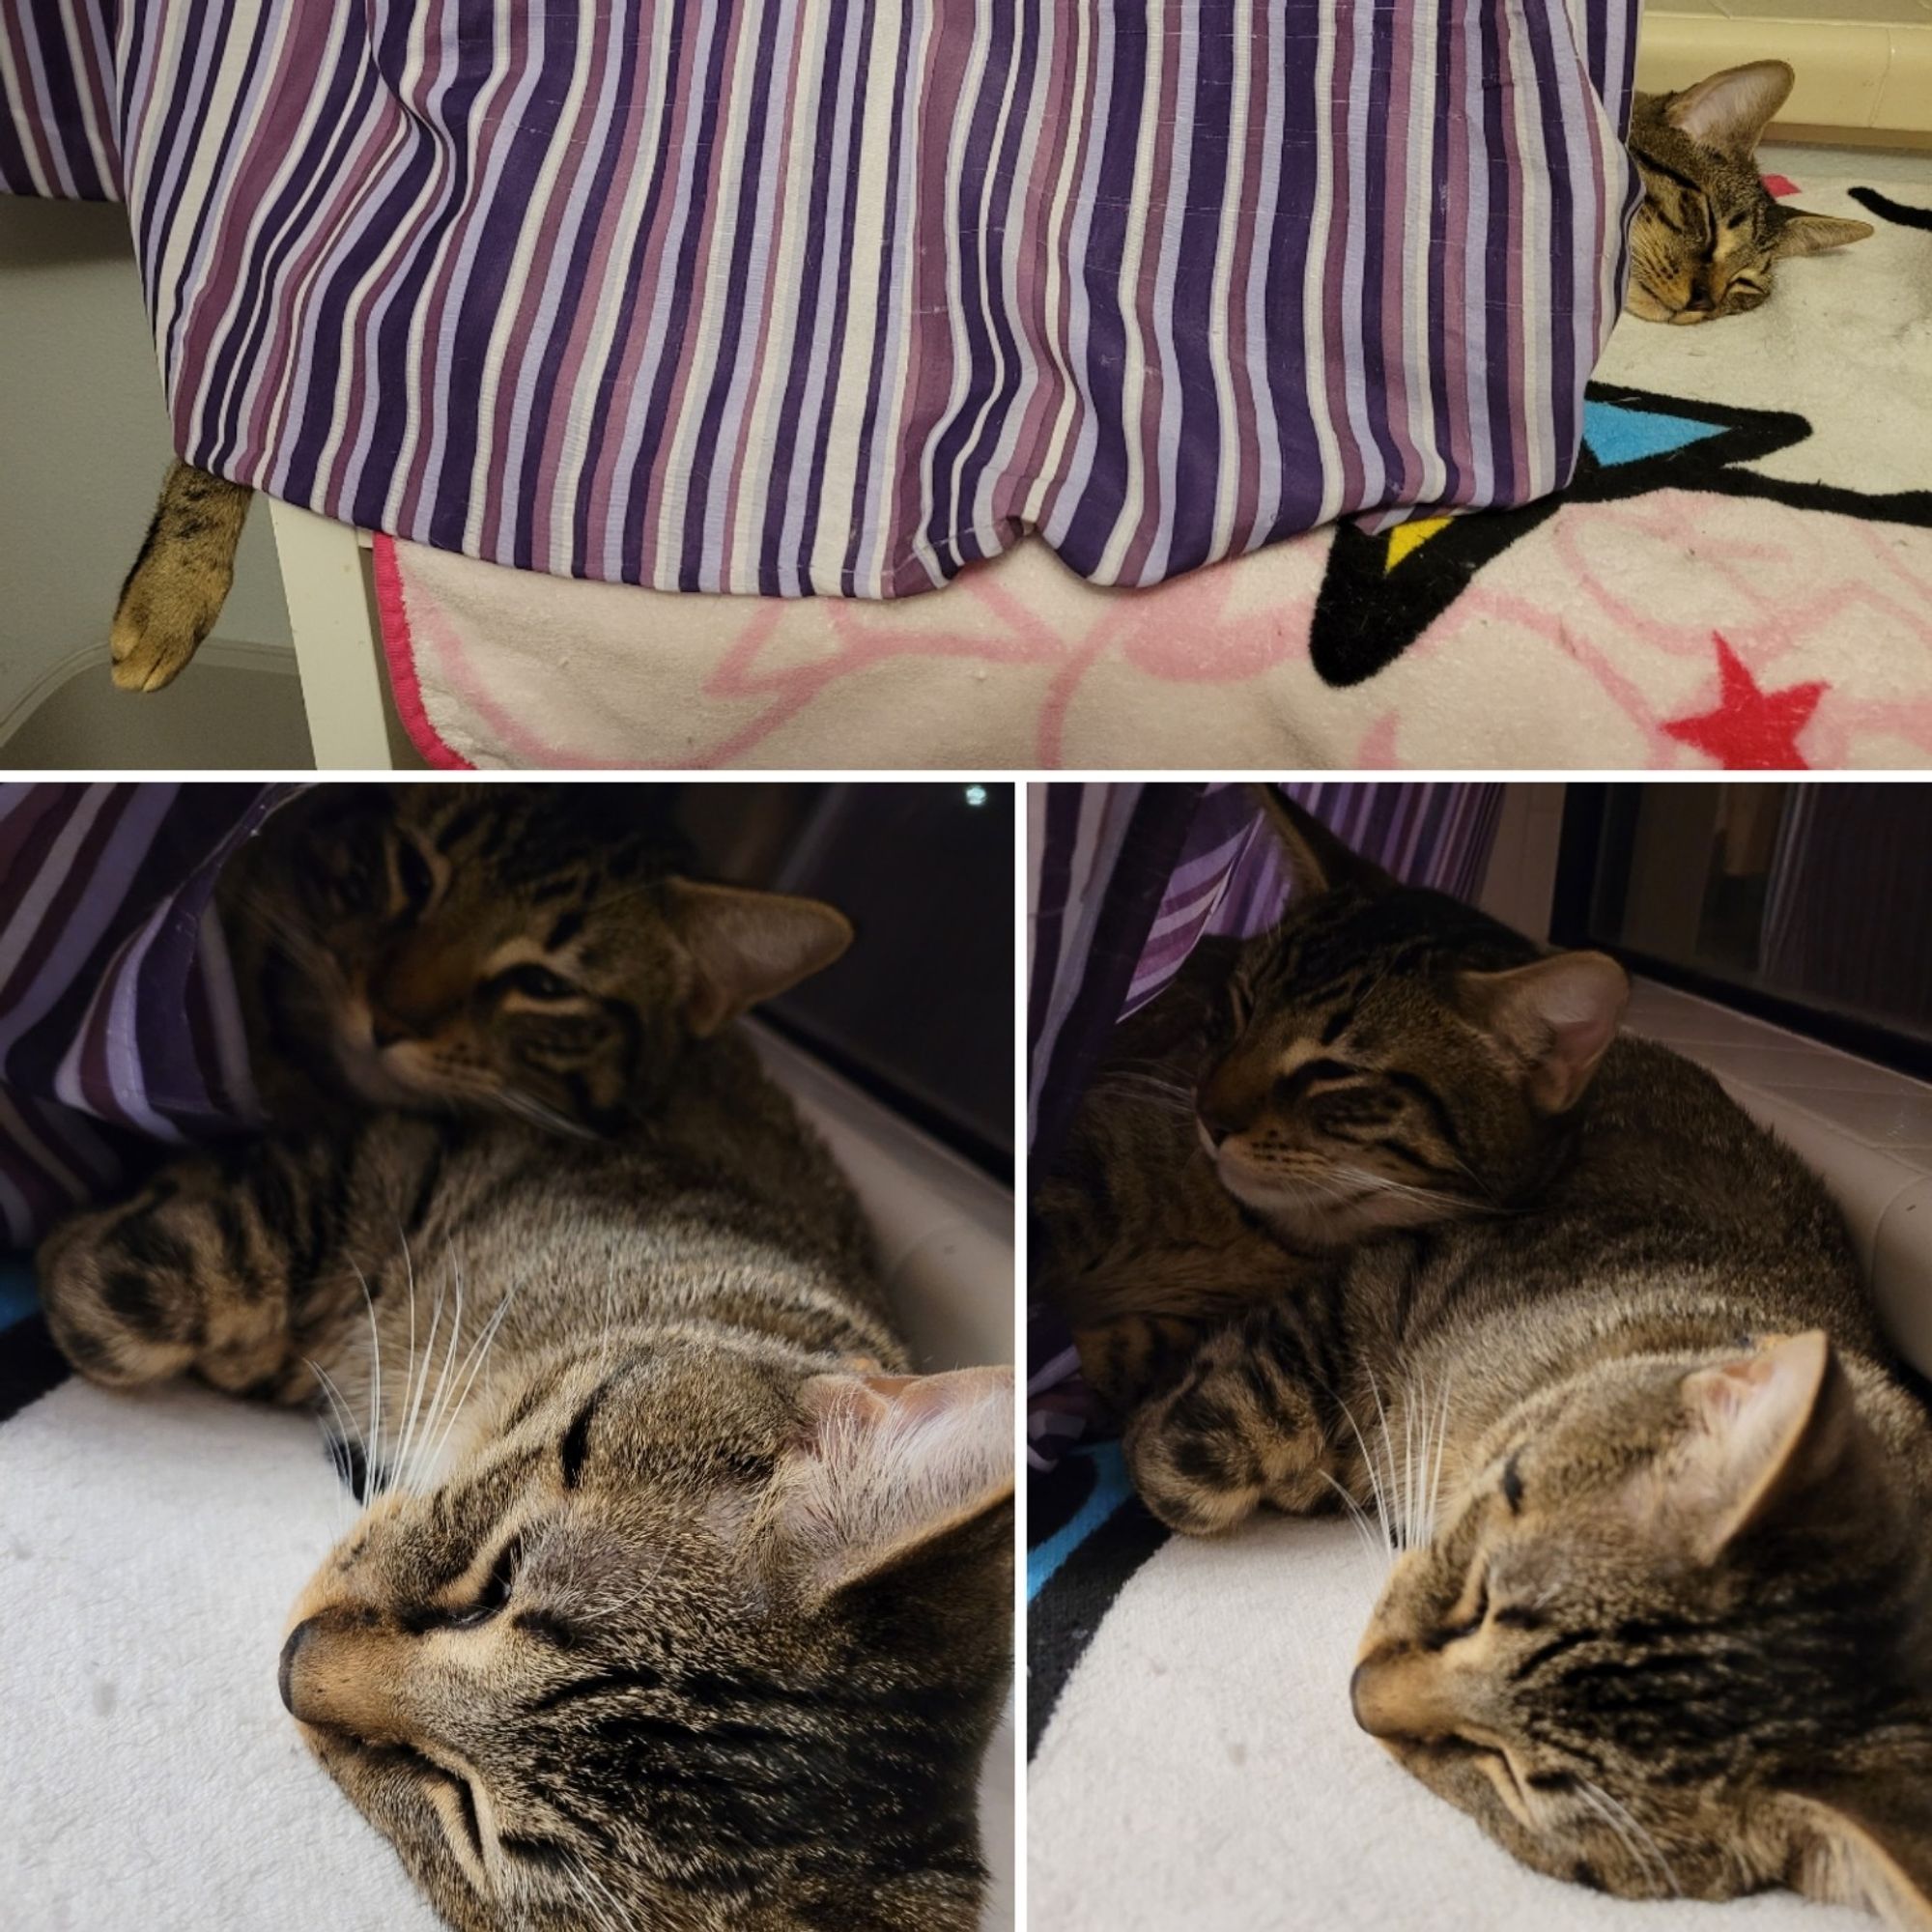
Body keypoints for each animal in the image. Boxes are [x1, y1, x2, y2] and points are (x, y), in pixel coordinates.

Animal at [38, 796, 1020, 1932]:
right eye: (493, 1584)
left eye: (463, 1810)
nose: (291, 1665)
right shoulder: (411, 1157)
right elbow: (136, 1293)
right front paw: (81, 1254)